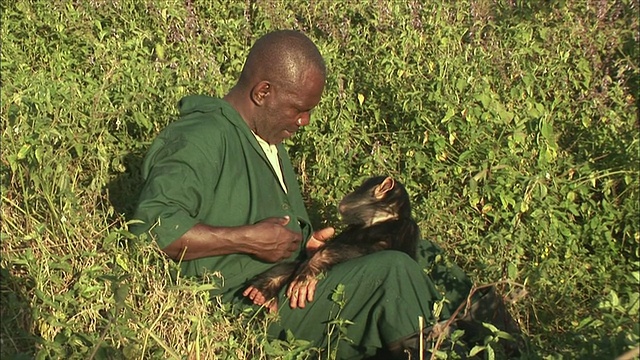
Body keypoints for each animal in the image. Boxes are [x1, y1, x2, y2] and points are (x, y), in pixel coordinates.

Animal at [242, 176, 418, 310]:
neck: (381, 218)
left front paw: (312, 266)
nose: (352, 190)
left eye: (362, 187)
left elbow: (378, 249)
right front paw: (269, 282)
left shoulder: (406, 229)